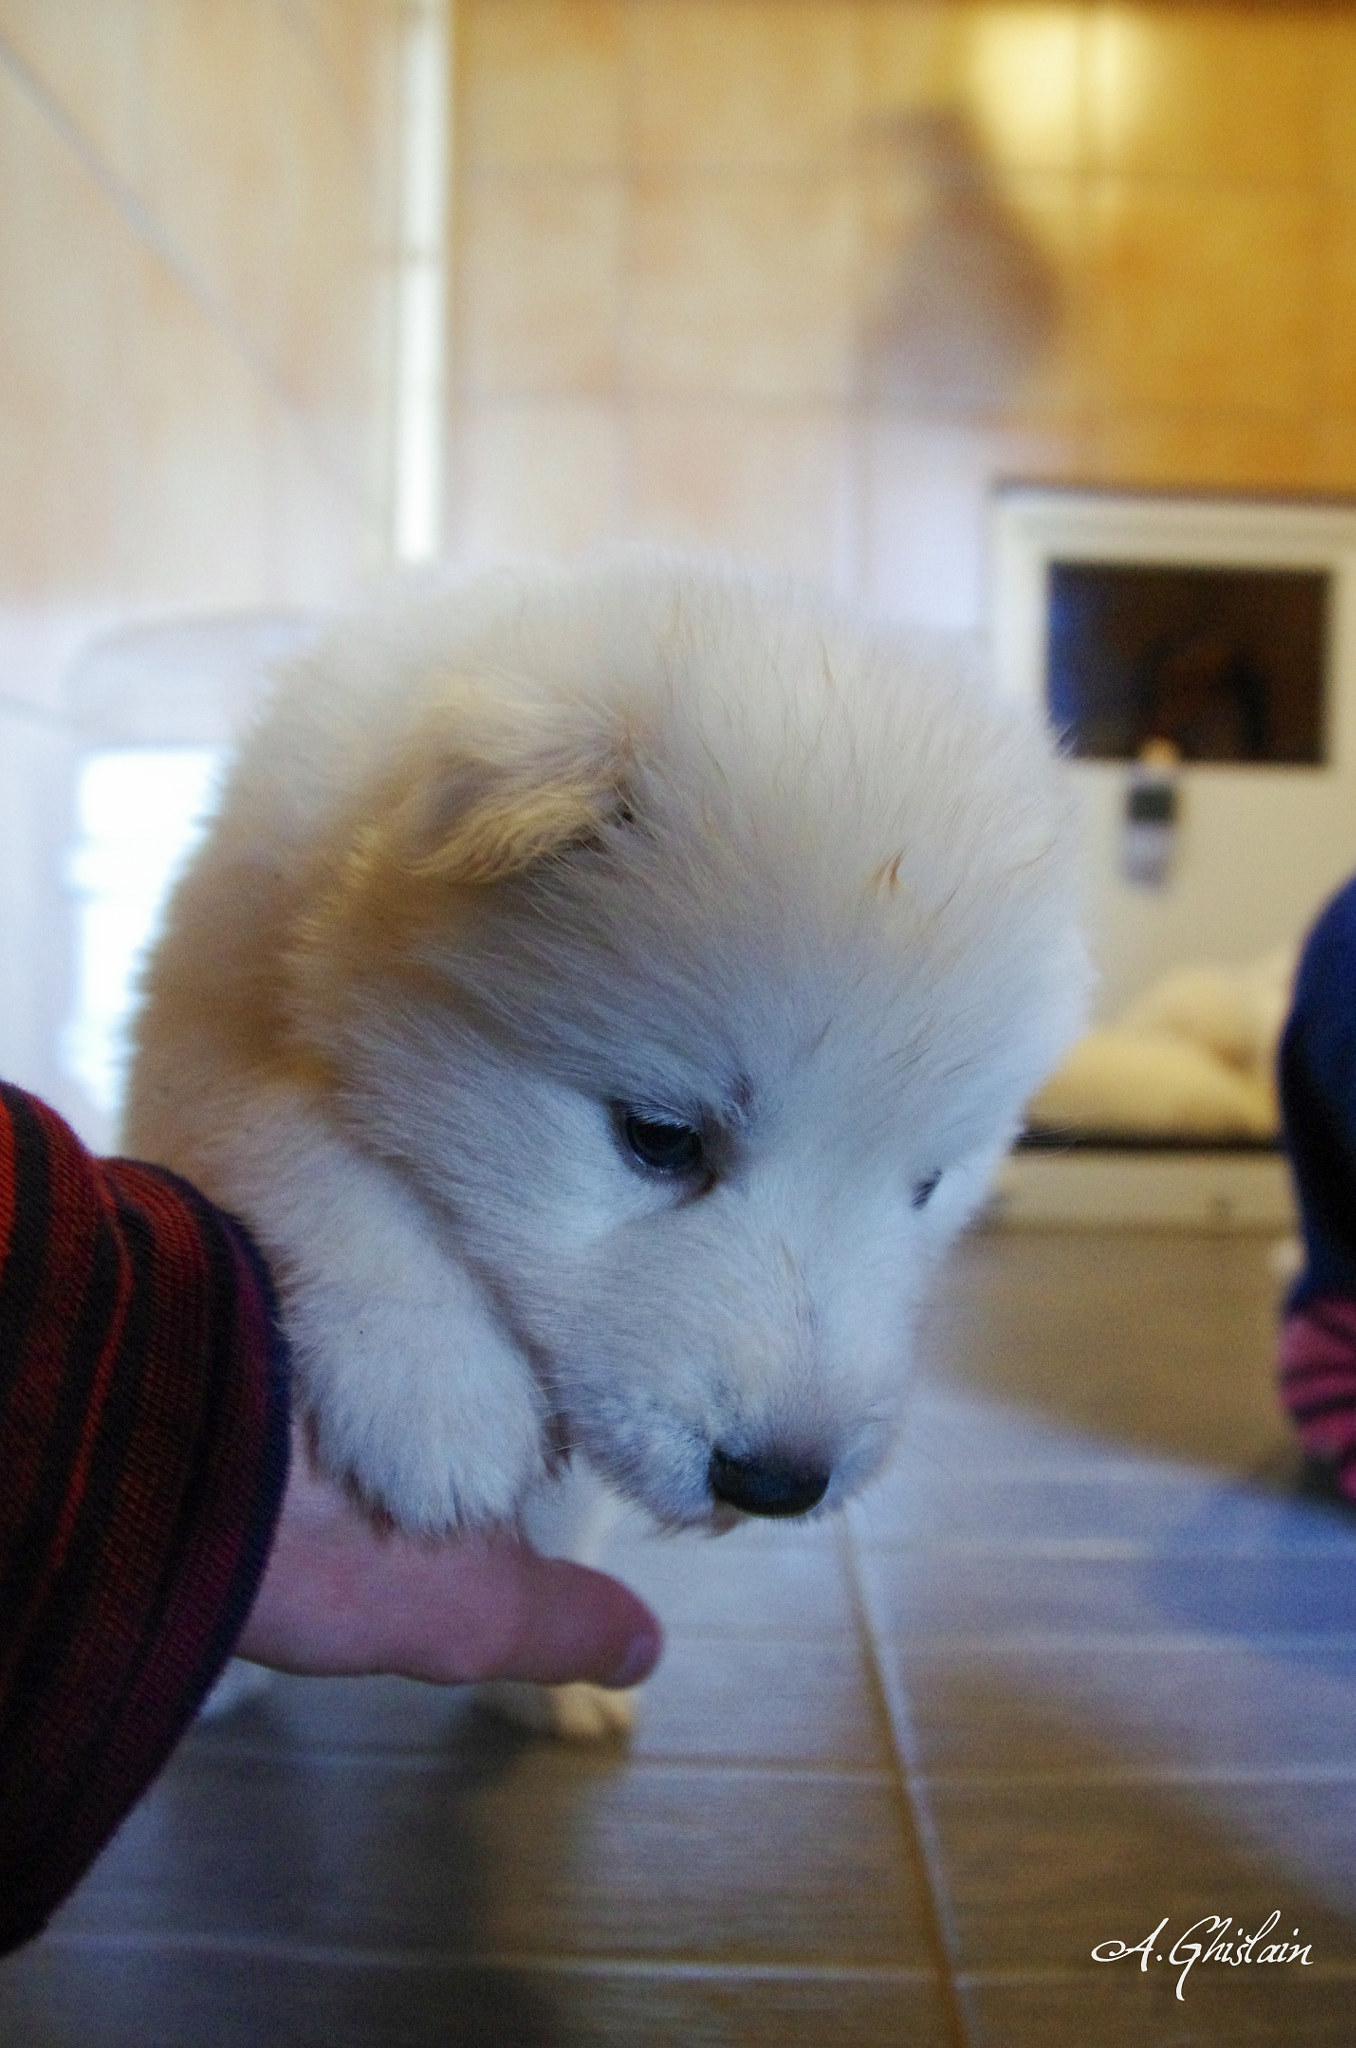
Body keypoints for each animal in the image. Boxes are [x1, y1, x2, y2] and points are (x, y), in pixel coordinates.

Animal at [124, 552, 1081, 1720]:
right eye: (660, 1137)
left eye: (928, 1184)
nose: (779, 1482)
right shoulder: (198, 1027)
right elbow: (286, 1127)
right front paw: (436, 1393)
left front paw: (548, 1685)